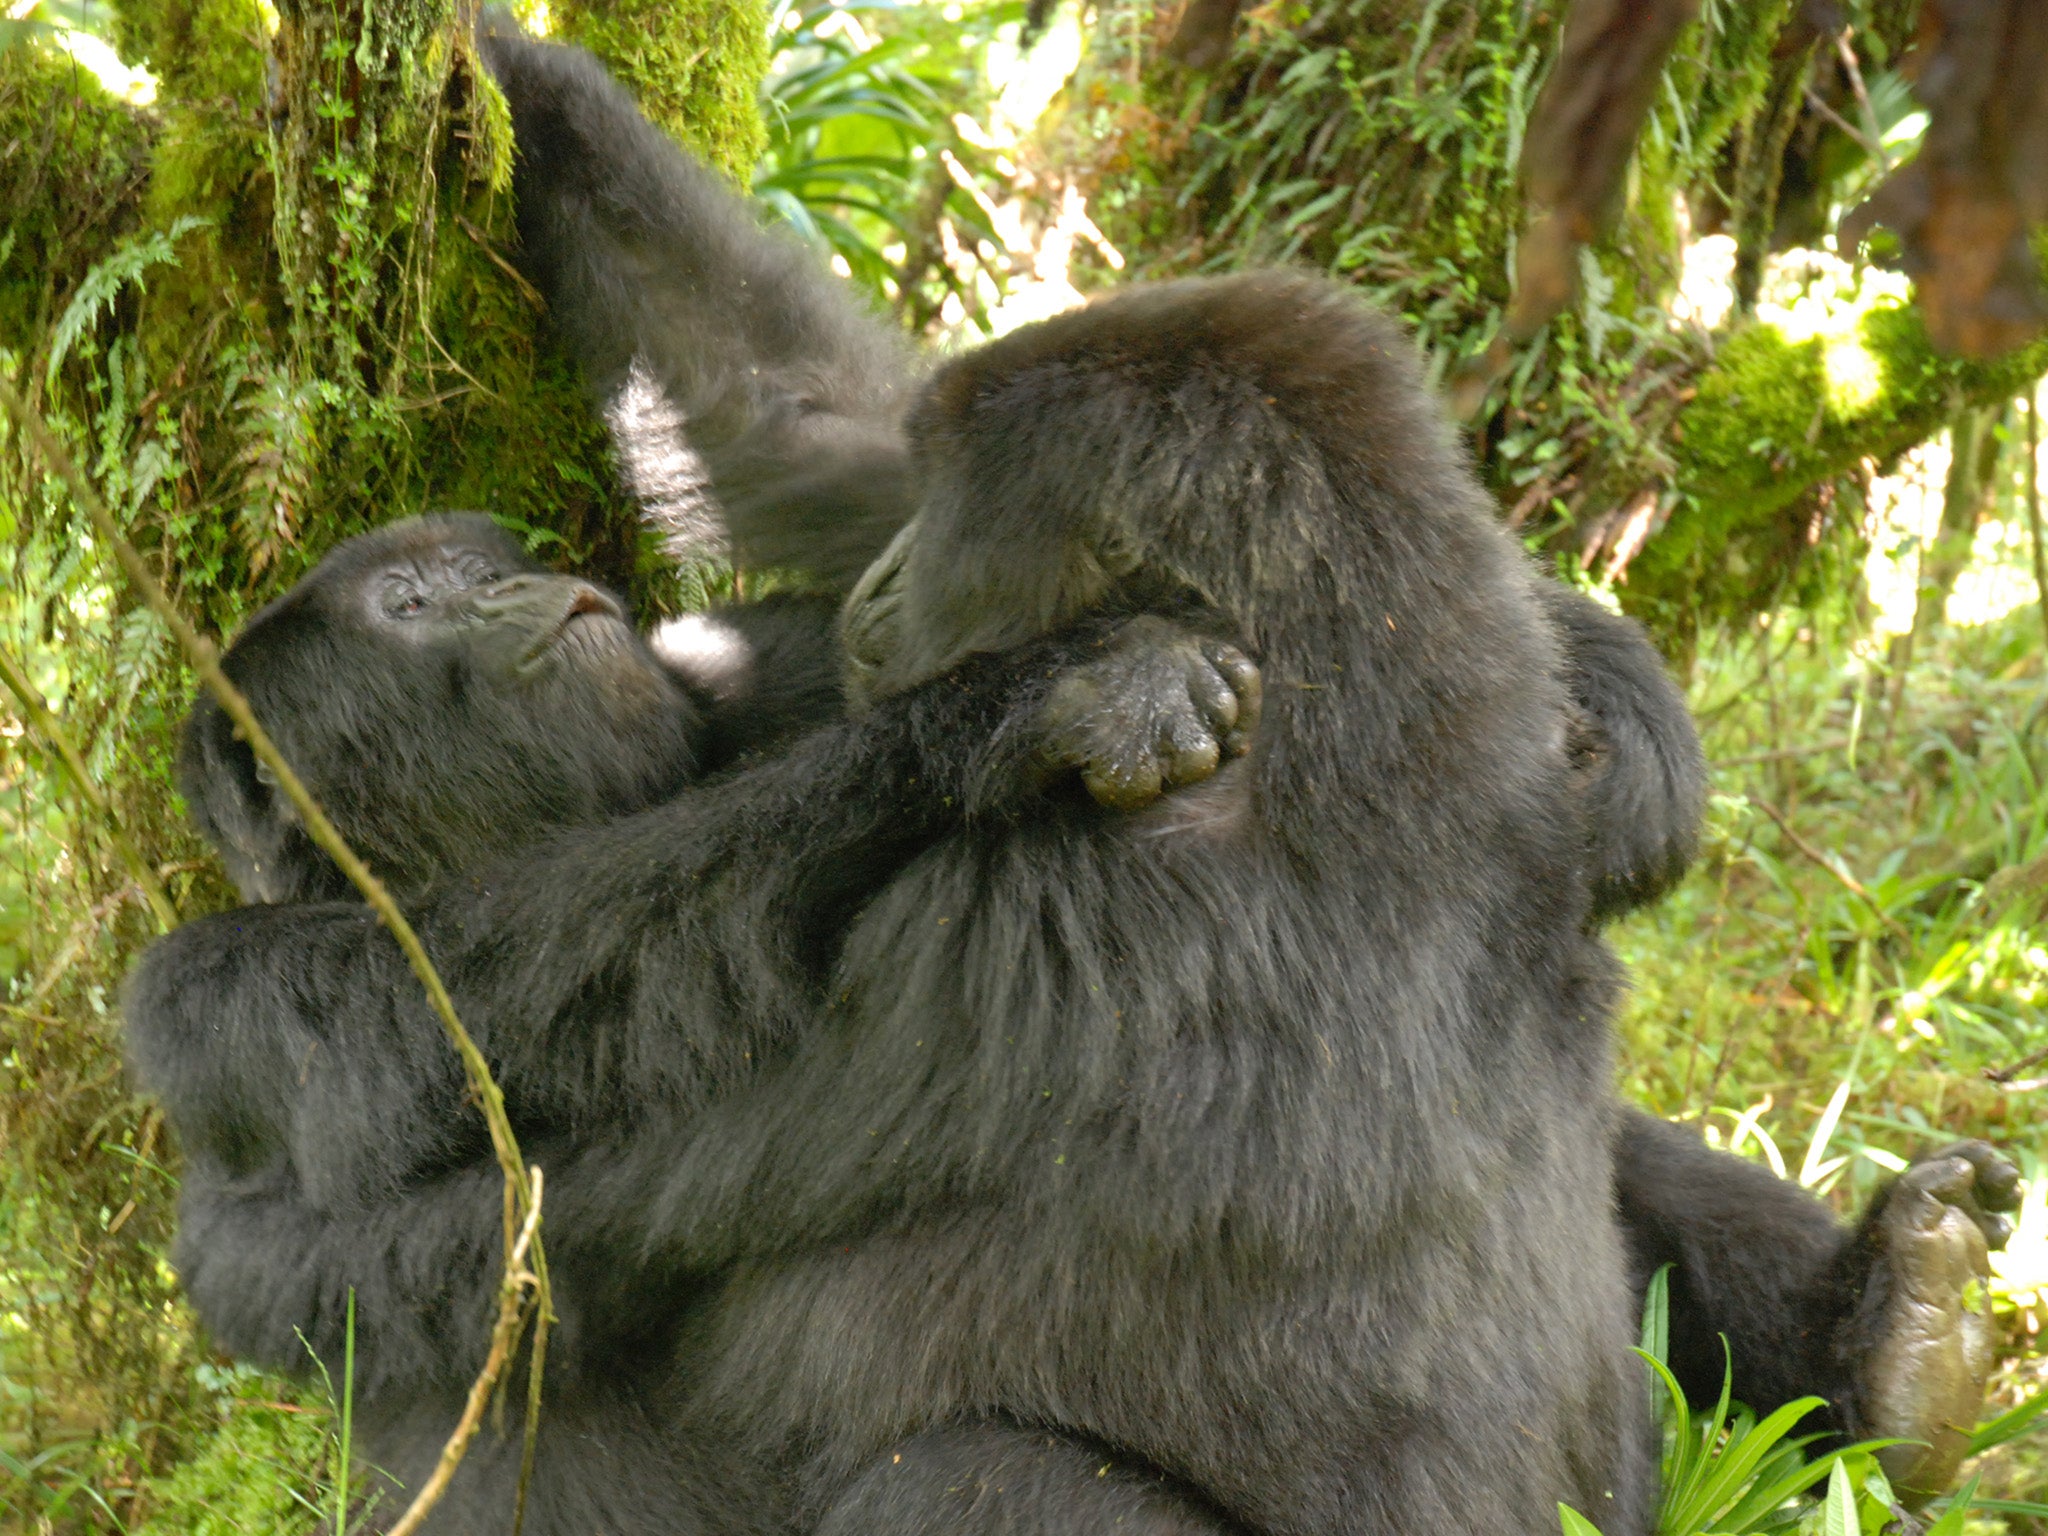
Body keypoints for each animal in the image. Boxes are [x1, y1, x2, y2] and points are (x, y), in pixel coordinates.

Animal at [119, 27, 2023, 1536]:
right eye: (418, 600)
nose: (527, 589)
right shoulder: (216, 983)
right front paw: (1036, 703)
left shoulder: (934, 885)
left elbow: (536, 1210)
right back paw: (1895, 1346)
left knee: (968, 1469)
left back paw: (1883, 1350)